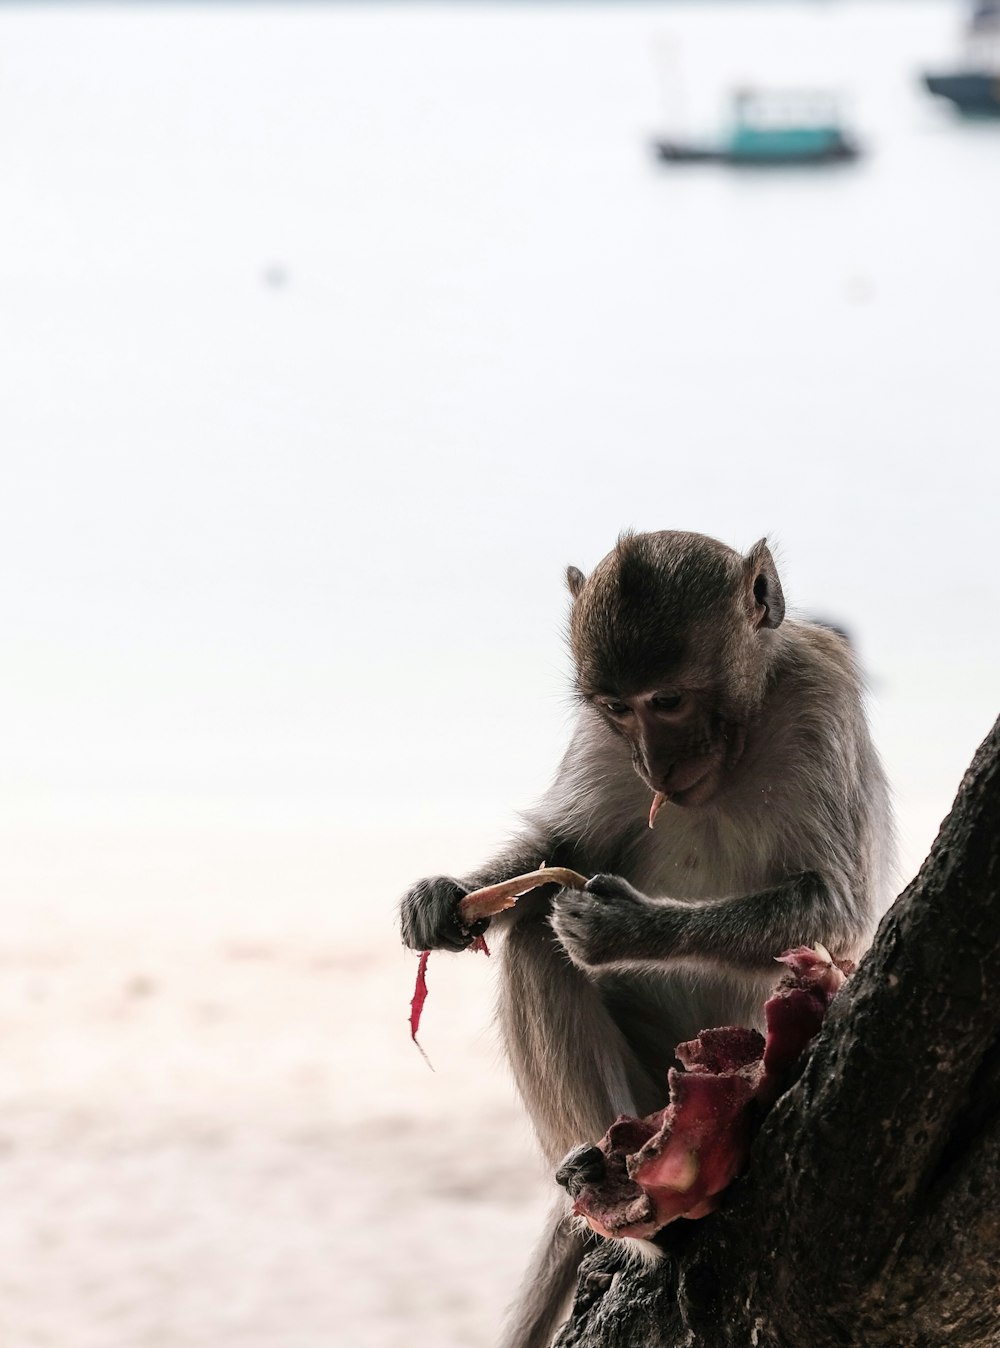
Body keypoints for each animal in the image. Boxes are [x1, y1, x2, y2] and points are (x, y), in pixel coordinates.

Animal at [398, 531, 900, 1348]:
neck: (739, 741)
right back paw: (622, 1191)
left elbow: (834, 904)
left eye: (667, 700)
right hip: (649, 1083)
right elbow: (562, 851)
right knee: (534, 940)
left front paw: (620, 926)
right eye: (617, 708)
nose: (654, 764)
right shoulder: (601, 744)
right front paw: (445, 897)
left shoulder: (819, 698)